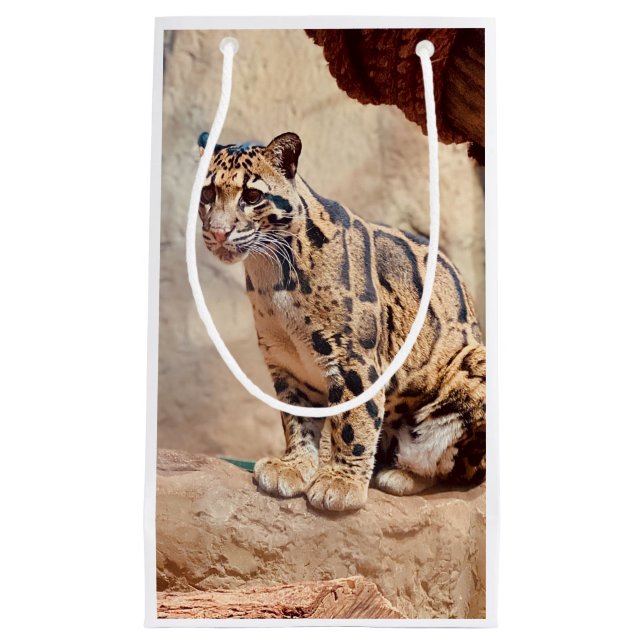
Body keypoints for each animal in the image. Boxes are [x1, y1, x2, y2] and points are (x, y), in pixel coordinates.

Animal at [198, 131, 486, 512]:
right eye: (207, 194)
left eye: (252, 196)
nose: (218, 232)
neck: (270, 275)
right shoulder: (287, 364)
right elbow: (297, 420)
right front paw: (294, 466)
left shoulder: (355, 360)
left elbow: (354, 424)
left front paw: (340, 483)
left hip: (474, 366)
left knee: (458, 469)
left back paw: (401, 475)